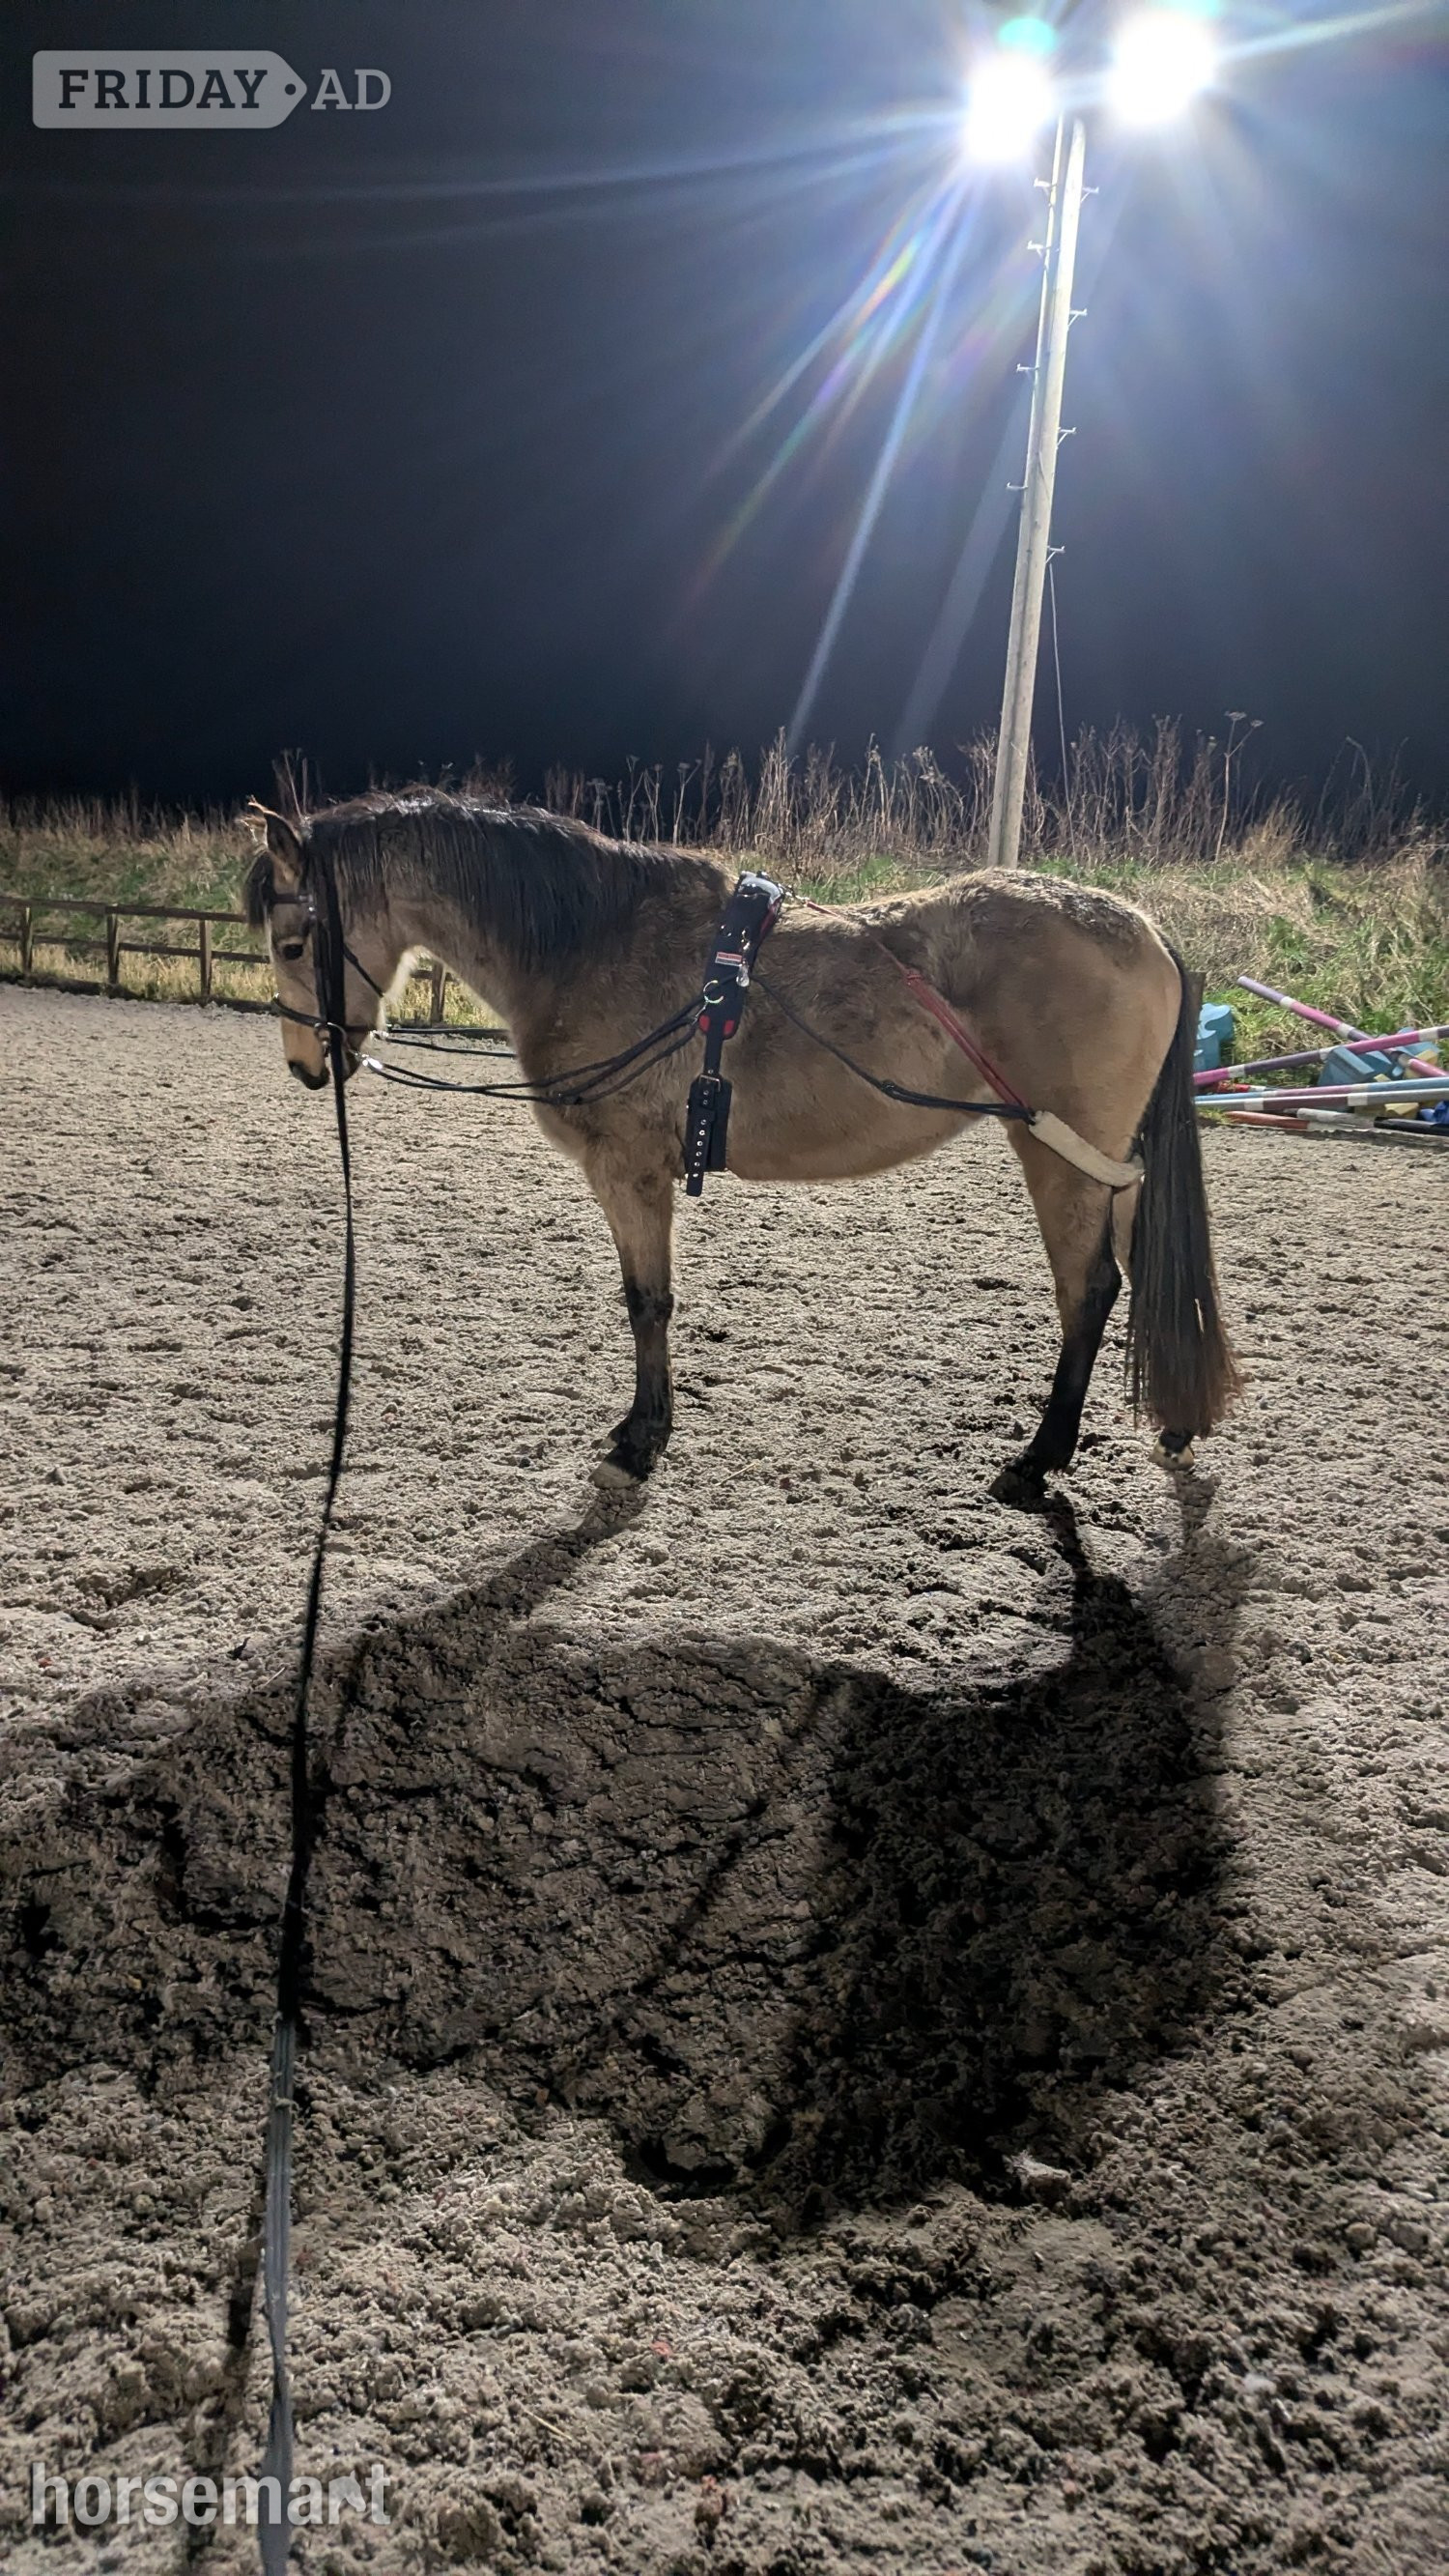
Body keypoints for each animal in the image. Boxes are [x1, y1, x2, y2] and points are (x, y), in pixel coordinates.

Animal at [245, 788, 1237, 1498]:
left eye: (293, 943)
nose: (304, 1065)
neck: (588, 944)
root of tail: (1148, 931)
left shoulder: (628, 1172)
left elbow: (646, 1302)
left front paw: (641, 1438)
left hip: (1060, 1156)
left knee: (1089, 1291)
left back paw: (1039, 1459)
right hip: (1106, 1166)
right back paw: (1169, 1423)